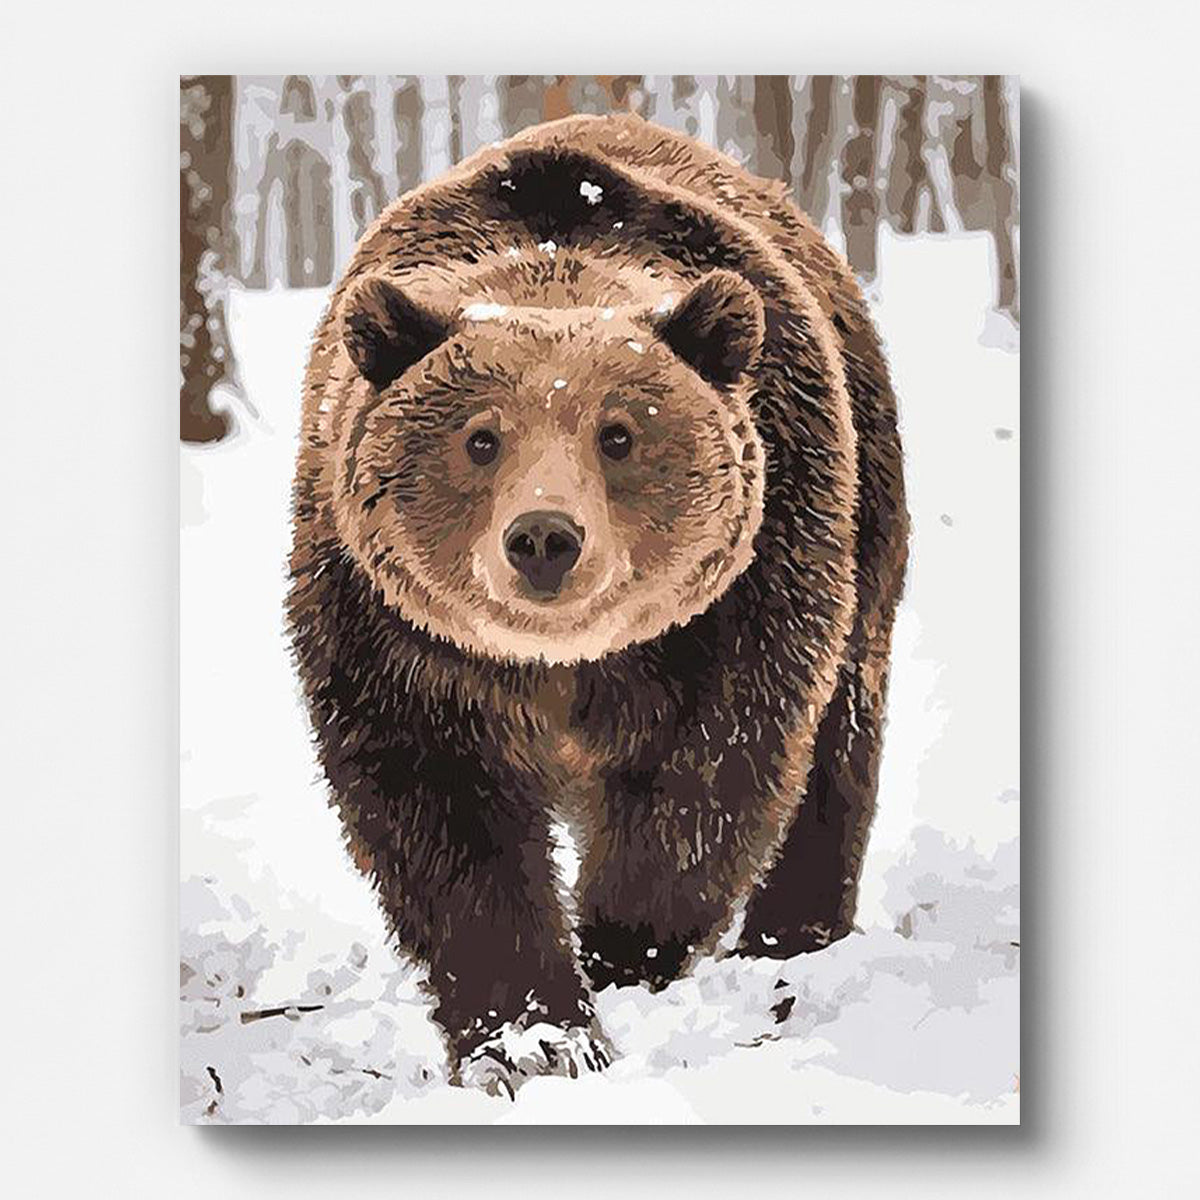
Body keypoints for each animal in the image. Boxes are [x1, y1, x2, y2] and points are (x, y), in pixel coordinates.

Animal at [287, 112, 908, 1096]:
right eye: (481, 438)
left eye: (618, 434)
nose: (545, 537)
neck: (563, 665)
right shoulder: (390, 634)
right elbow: (445, 824)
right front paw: (534, 1037)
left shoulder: (744, 597)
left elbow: (710, 779)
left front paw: (619, 951)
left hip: (866, 513)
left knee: (839, 742)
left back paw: (793, 941)